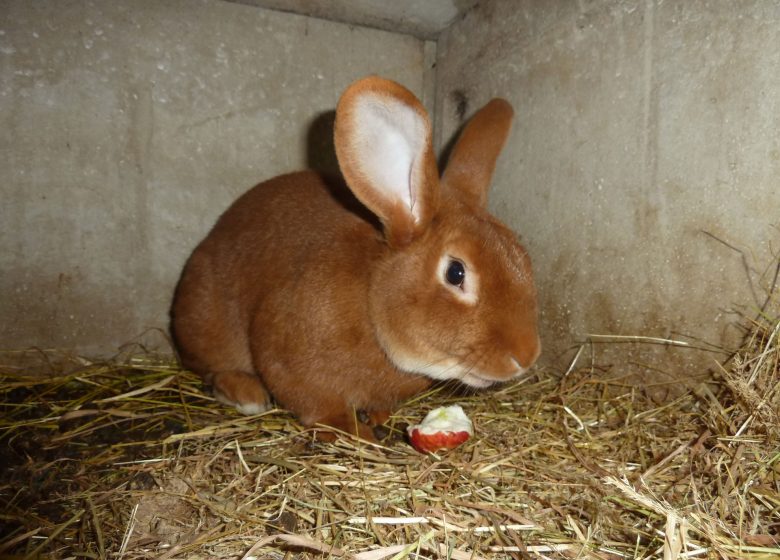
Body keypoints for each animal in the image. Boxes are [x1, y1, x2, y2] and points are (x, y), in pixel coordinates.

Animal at [171, 75, 540, 442]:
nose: (525, 355)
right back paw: (246, 394)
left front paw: (377, 416)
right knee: (211, 368)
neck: (371, 301)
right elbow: (316, 407)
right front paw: (352, 430)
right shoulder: (283, 353)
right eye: (455, 273)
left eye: (522, 256)